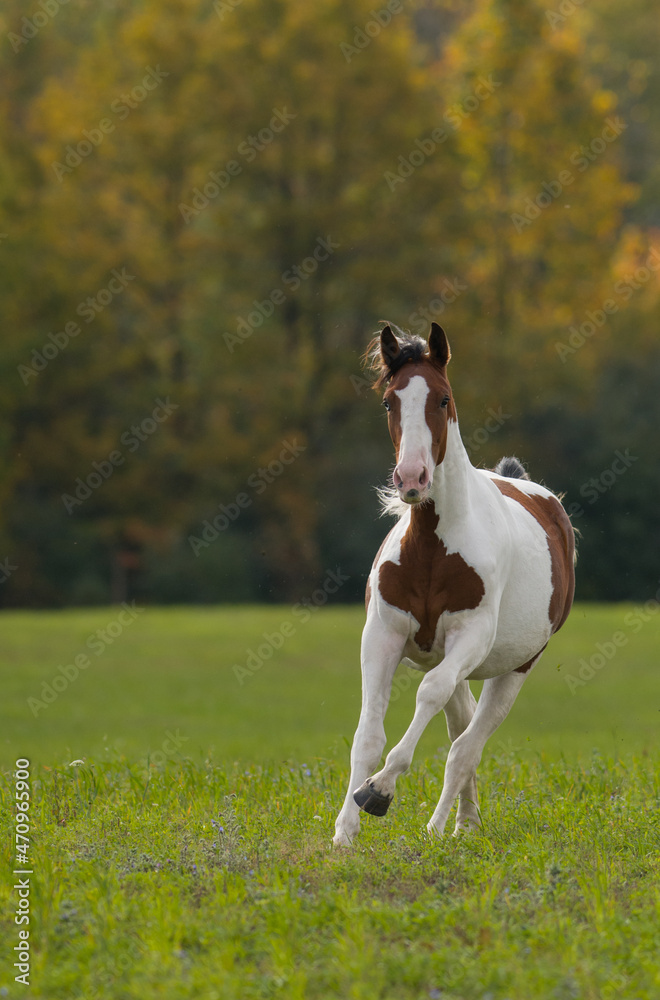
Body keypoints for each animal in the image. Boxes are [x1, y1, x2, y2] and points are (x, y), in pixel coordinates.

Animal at [333, 323, 575, 846]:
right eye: (389, 401)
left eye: (443, 399)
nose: (412, 478)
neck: (431, 549)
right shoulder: (381, 637)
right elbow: (368, 733)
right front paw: (344, 832)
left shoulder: (472, 637)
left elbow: (429, 696)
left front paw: (378, 791)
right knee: (460, 727)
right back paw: (465, 821)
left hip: (515, 667)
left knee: (466, 744)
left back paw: (440, 828)